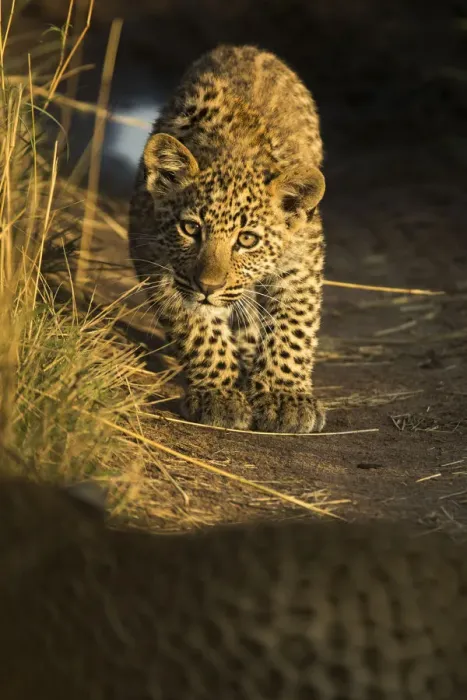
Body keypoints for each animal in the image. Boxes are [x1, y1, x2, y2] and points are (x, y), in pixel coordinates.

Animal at [129, 45, 327, 433]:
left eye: (247, 240)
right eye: (191, 229)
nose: (208, 287)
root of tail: (247, 47)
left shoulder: (303, 258)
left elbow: (294, 324)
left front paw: (285, 398)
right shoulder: (157, 258)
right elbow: (197, 330)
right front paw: (218, 395)